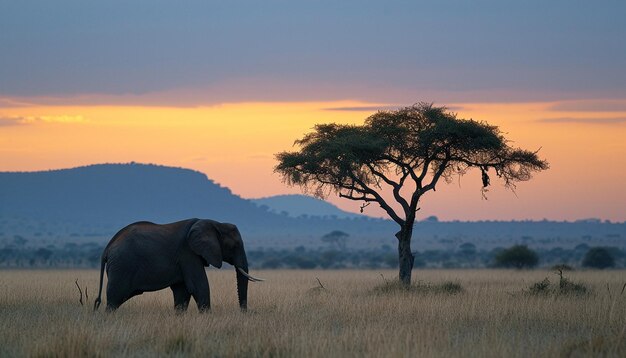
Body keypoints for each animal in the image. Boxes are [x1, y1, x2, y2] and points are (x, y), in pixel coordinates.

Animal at [92, 217, 260, 312]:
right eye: (235, 245)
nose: (244, 312)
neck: (214, 223)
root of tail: (107, 247)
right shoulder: (188, 253)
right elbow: (198, 286)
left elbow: (182, 291)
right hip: (122, 266)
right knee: (114, 298)